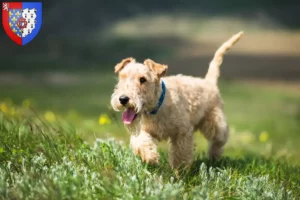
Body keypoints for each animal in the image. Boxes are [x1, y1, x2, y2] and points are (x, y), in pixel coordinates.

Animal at [110, 31, 244, 169]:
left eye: (143, 79)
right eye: (122, 77)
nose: (123, 99)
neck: (157, 107)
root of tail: (209, 82)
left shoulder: (182, 132)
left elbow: (180, 154)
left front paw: (180, 171)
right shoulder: (144, 130)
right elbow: (141, 141)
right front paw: (150, 157)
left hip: (214, 122)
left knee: (221, 137)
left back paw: (214, 157)